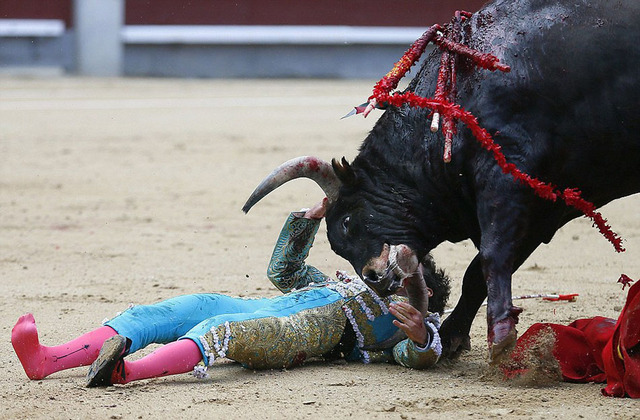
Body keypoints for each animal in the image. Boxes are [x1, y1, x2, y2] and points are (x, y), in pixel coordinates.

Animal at [241, 0, 640, 360]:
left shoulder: (509, 178)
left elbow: (493, 256)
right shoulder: (544, 206)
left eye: (348, 222)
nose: (374, 279)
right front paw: (452, 338)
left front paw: (500, 336)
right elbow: (478, 272)